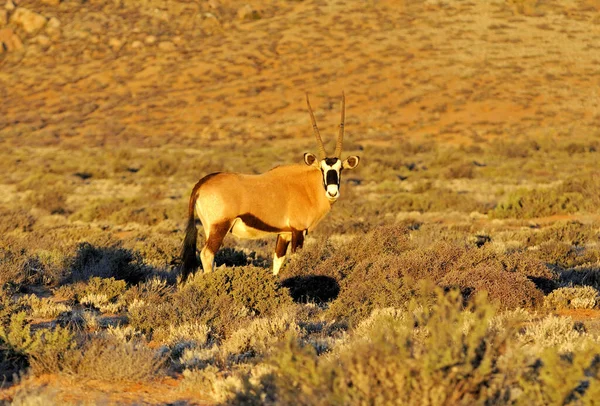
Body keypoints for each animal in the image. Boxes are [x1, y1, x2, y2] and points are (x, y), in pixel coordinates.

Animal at [180, 93, 358, 282]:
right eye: (322, 169)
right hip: (219, 227)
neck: (307, 187)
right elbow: (297, 258)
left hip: (209, 228)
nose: (332, 192)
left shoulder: (284, 233)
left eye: (340, 169)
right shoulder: (298, 230)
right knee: (207, 254)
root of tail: (203, 183)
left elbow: (277, 261)